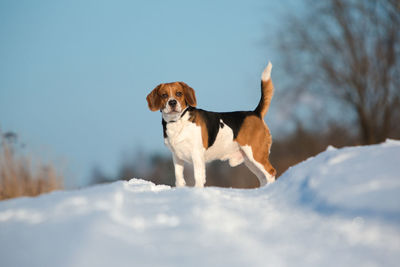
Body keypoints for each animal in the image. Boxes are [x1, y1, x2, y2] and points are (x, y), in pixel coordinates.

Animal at [146, 62, 276, 188]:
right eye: (164, 95)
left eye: (179, 93)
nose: (172, 102)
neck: (178, 121)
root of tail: (255, 113)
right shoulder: (177, 157)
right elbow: (179, 179)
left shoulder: (197, 154)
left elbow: (198, 177)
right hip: (250, 160)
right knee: (263, 177)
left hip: (256, 153)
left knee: (271, 172)